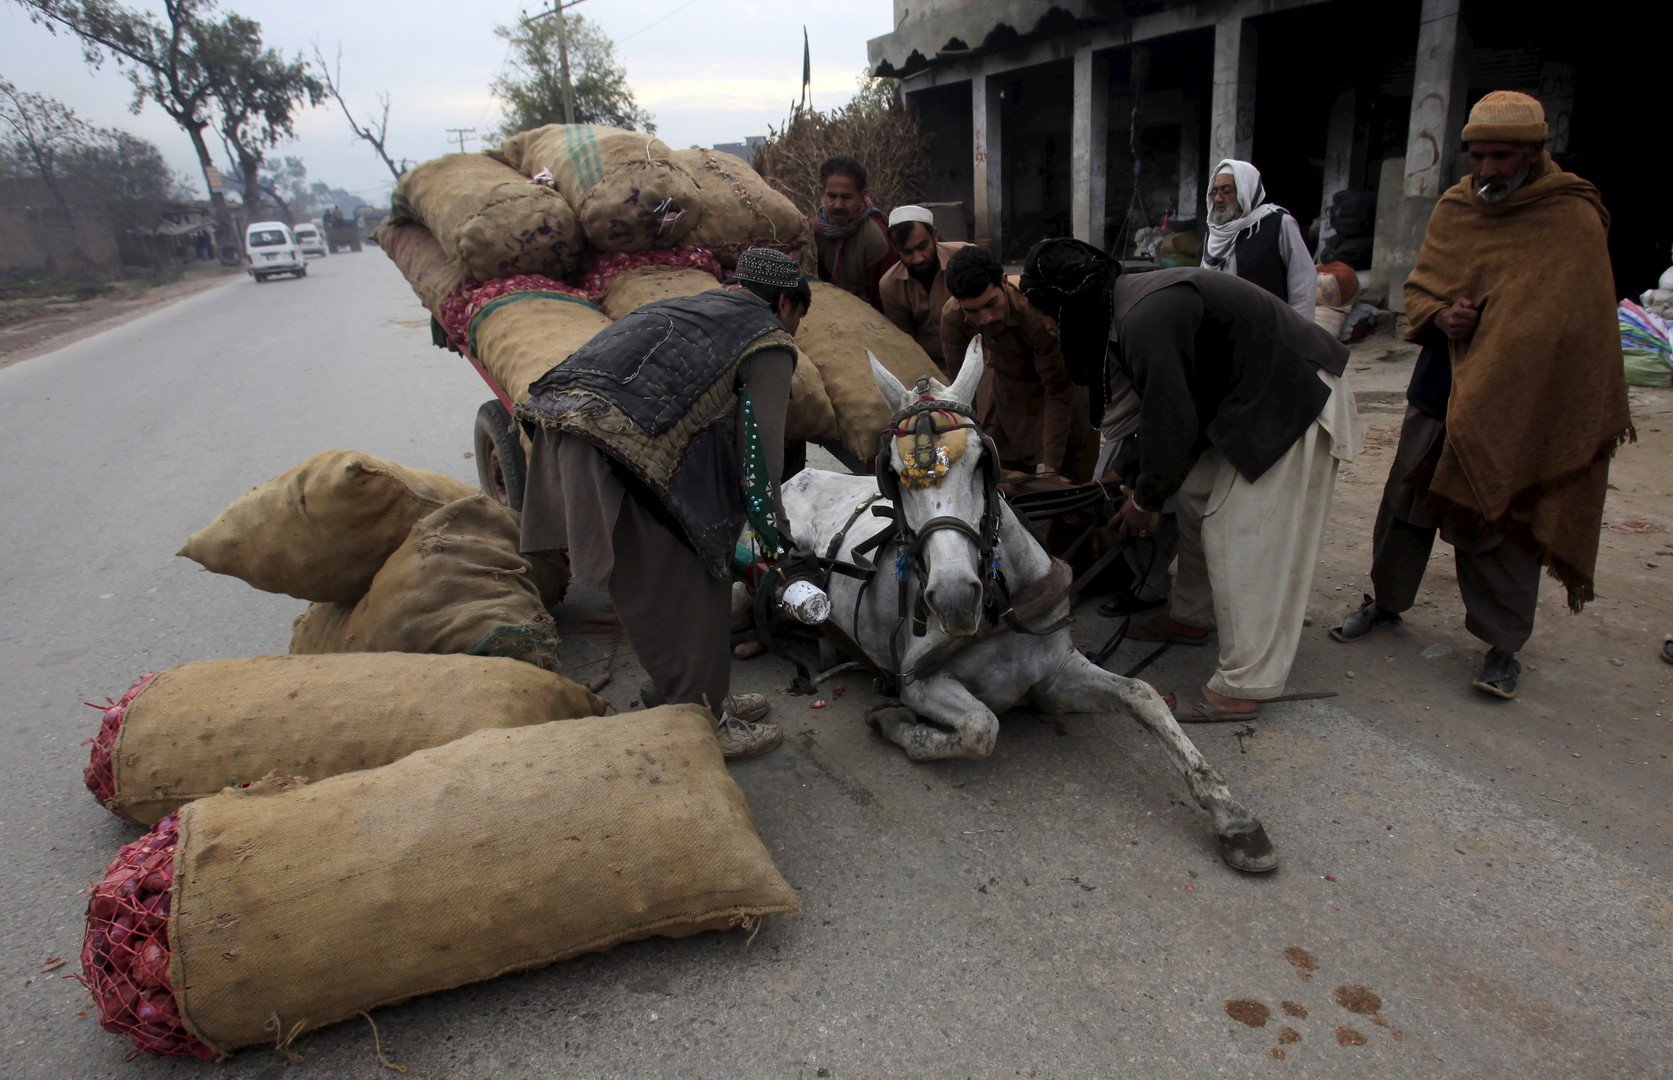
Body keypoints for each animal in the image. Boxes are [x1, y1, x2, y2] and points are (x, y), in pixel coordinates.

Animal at [776, 342, 1271, 876]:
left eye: (982, 462)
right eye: (892, 474)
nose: (954, 597)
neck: (1000, 613)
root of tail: (797, 477)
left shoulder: (1055, 676)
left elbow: (1143, 694)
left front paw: (1233, 816)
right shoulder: (919, 682)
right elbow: (981, 727)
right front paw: (895, 724)